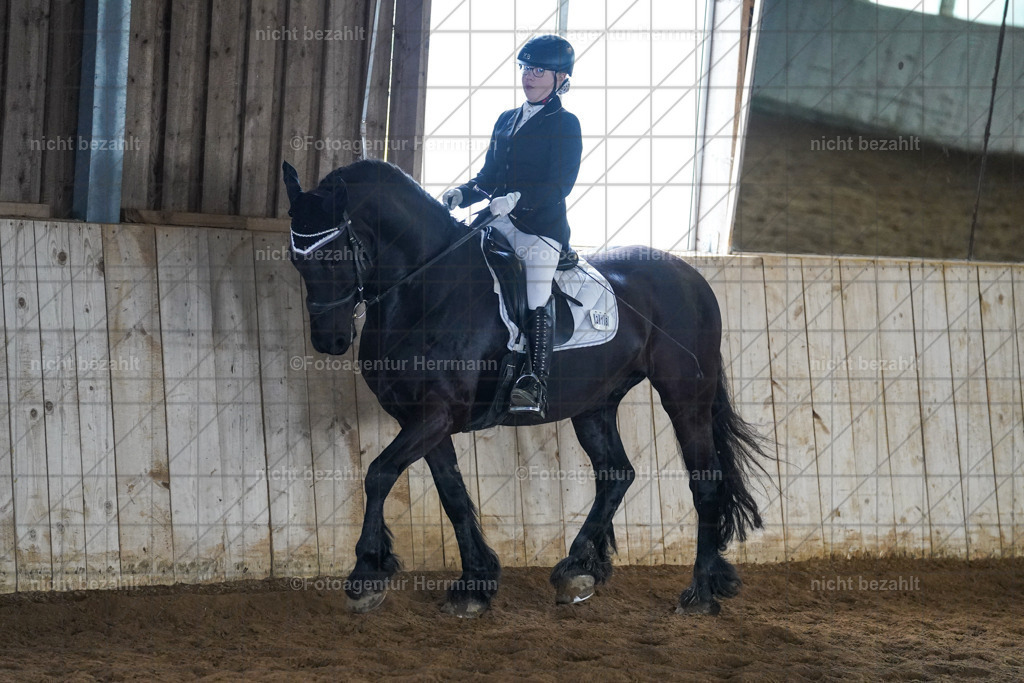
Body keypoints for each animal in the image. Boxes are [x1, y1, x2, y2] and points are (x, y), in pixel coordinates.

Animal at [282, 158, 769, 617]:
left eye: (333, 255)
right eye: (294, 258)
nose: (329, 341)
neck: (426, 289)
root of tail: (692, 278)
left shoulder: (437, 414)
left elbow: (379, 473)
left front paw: (367, 574)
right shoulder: (424, 418)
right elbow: (452, 494)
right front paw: (475, 584)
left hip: (686, 398)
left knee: (704, 482)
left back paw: (699, 593)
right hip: (594, 404)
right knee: (616, 474)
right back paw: (577, 569)